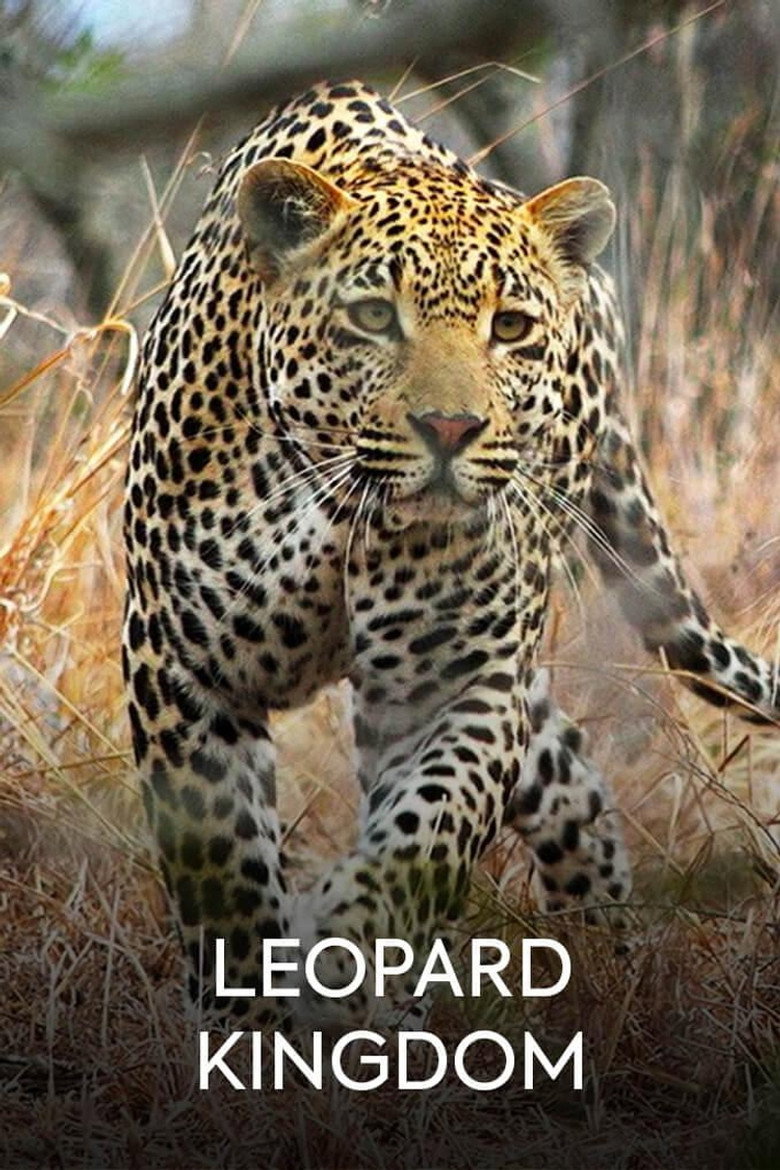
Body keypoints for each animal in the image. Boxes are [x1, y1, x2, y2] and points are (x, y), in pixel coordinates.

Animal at [123, 79, 779, 1029]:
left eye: (510, 326)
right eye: (371, 317)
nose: (450, 428)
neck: (336, 508)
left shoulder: (453, 684)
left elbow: (427, 832)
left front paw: (349, 945)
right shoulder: (183, 670)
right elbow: (224, 877)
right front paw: (247, 1031)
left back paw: (596, 969)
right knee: (565, 763)